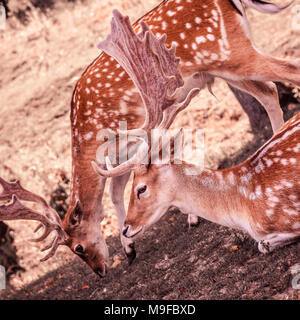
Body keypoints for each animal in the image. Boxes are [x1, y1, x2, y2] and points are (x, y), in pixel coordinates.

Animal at [0, 0, 300, 278]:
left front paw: (137, 243)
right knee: (269, 91)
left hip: (231, 54)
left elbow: (120, 186)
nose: (99, 271)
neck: (86, 133)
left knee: (290, 70)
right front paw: (133, 244)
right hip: (224, 69)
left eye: (78, 247)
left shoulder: (129, 137)